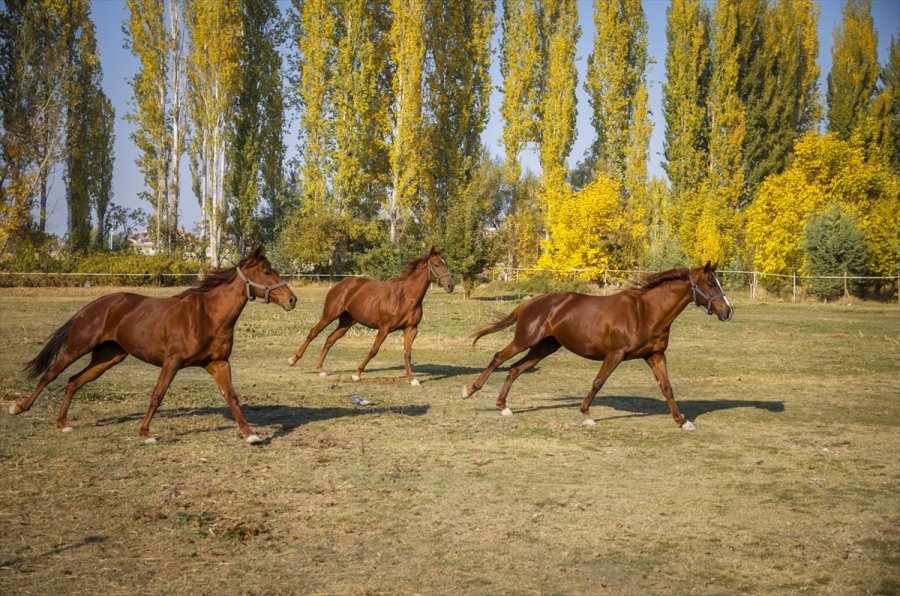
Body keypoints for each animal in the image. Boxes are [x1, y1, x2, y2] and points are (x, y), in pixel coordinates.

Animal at [8, 244, 298, 444]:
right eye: (267, 271)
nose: (292, 300)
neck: (208, 316)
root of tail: (92, 306)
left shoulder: (218, 363)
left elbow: (232, 398)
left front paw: (250, 435)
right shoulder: (172, 361)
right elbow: (157, 395)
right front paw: (146, 433)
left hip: (107, 358)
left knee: (73, 381)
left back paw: (62, 423)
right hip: (77, 347)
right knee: (51, 374)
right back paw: (19, 408)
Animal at [288, 247, 454, 386]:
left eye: (445, 263)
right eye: (436, 265)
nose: (450, 285)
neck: (405, 297)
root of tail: (341, 284)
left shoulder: (411, 328)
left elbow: (408, 353)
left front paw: (411, 379)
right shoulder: (384, 328)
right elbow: (374, 350)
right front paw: (356, 374)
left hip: (346, 322)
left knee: (330, 339)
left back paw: (320, 369)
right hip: (329, 315)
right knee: (313, 333)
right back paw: (293, 360)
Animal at [464, 264, 732, 430]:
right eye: (710, 283)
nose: (728, 312)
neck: (646, 313)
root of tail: (534, 301)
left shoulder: (655, 355)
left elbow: (666, 388)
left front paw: (682, 421)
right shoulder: (615, 354)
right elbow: (598, 382)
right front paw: (586, 415)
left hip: (543, 348)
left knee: (514, 370)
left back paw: (504, 407)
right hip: (525, 341)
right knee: (499, 358)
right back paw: (469, 391)